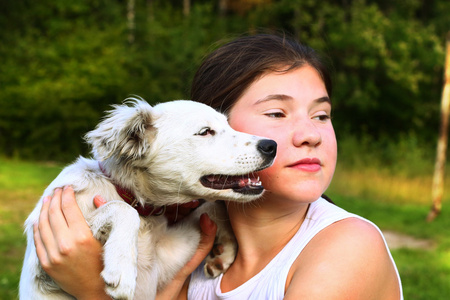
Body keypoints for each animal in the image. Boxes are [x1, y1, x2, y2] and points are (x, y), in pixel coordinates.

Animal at [20, 98, 278, 298]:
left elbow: (212, 207)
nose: (271, 145)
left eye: (228, 125)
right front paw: (122, 268)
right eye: (205, 132)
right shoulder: (43, 268)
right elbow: (123, 210)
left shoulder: (164, 260)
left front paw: (225, 252)